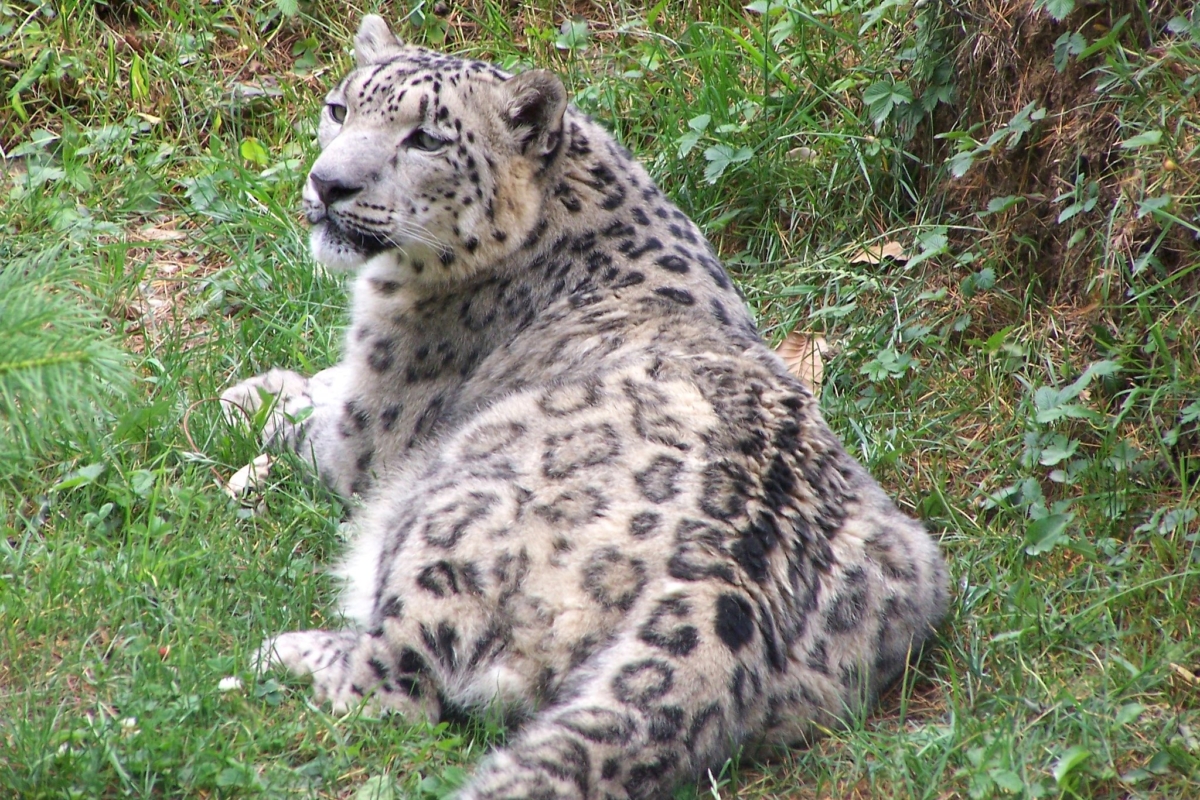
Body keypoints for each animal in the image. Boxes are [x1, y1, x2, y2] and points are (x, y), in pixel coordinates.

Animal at [223, 14, 945, 800]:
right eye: (339, 109)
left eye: (427, 139)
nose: (328, 183)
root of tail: (725, 588)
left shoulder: (371, 424)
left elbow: (314, 419)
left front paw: (249, 394)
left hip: (448, 512)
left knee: (395, 684)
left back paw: (284, 652)